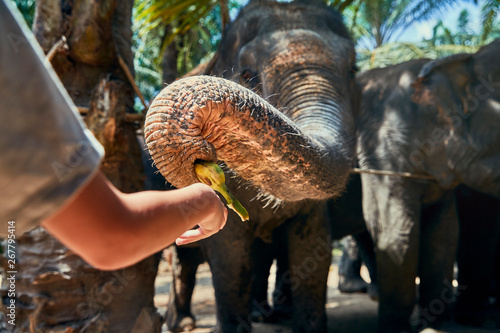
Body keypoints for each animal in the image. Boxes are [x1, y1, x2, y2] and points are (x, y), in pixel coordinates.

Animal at [144, 1, 360, 330]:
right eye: (247, 72)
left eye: (353, 69)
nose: (201, 150)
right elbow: (231, 257)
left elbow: (313, 245)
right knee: (179, 259)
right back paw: (182, 324)